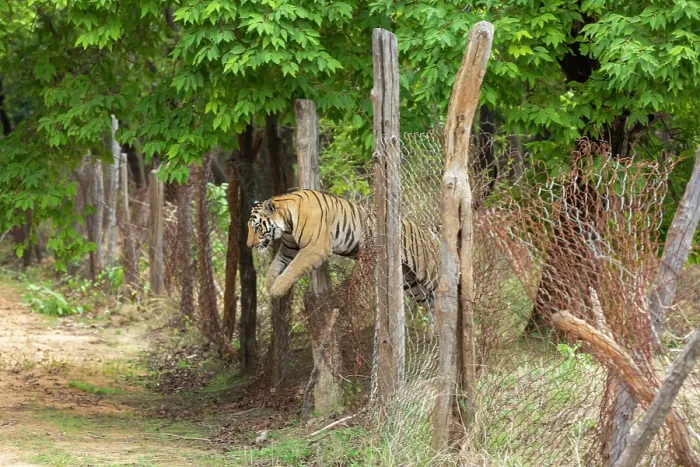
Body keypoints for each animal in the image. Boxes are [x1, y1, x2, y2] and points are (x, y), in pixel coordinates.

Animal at [246, 189, 438, 312]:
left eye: (256, 227)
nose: (249, 245)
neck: (287, 223)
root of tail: (426, 231)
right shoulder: (289, 248)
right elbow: (275, 266)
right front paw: (270, 285)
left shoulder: (314, 248)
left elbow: (292, 270)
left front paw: (276, 290)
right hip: (412, 283)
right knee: (431, 306)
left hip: (429, 273)